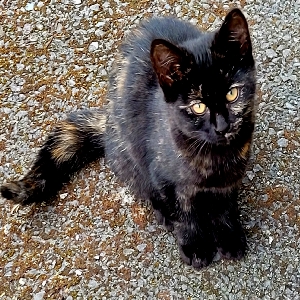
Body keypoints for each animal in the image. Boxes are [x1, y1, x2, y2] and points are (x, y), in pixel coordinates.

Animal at [1, 8, 255, 268]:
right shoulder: (162, 177)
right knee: (145, 189)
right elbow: (184, 213)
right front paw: (194, 245)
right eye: (198, 106)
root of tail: (107, 124)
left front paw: (229, 236)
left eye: (232, 93)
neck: (215, 158)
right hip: (129, 158)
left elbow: (225, 207)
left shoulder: (231, 178)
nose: (222, 126)